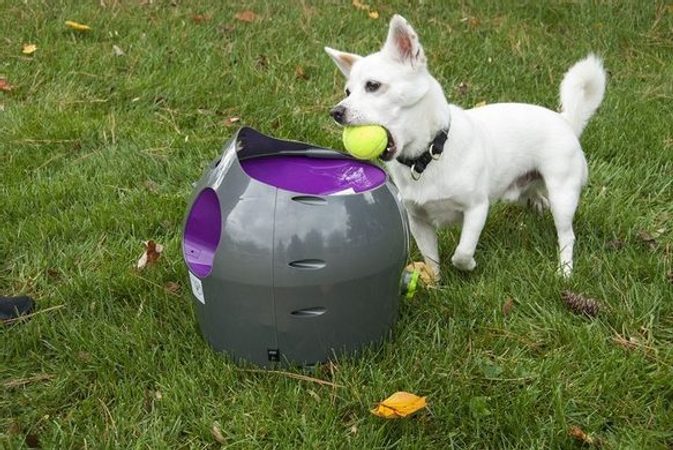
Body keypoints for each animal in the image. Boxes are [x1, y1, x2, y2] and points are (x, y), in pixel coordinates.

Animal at [322, 13, 608, 278]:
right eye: (348, 92)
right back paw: (537, 203)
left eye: (373, 86)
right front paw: (435, 285)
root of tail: (566, 120)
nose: (336, 111)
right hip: (528, 185)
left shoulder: (477, 209)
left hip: (563, 194)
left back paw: (565, 271)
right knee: (532, 193)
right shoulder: (418, 222)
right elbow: (432, 261)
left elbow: (461, 252)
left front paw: (468, 266)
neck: (428, 155)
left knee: (566, 235)